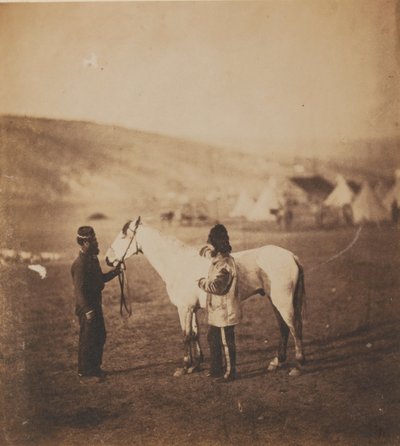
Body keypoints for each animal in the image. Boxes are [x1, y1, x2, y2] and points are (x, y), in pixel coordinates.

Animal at [104, 216, 304, 376]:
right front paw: (196, 365)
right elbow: (194, 334)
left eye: (123, 236)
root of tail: (291, 256)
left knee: (293, 327)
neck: (178, 263)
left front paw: (184, 367)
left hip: (283, 301)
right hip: (274, 300)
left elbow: (185, 336)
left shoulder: (183, 309)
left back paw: (298, 366)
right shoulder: (191, 309)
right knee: (283, 328)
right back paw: (276, 362)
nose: (107, 259)